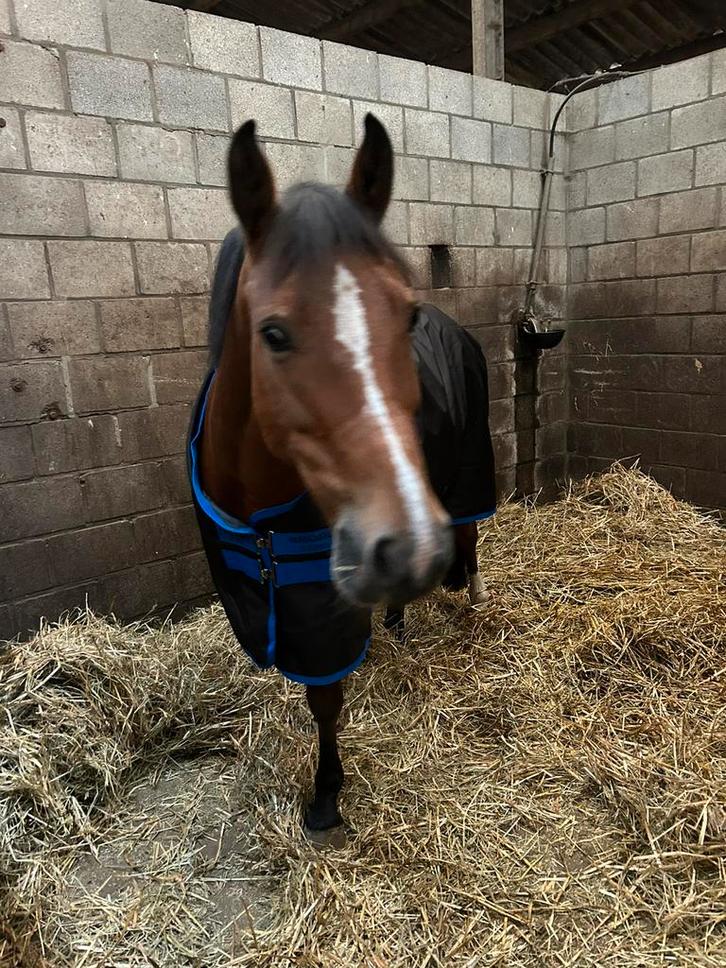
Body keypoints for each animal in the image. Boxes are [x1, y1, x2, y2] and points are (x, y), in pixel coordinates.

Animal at [188, 114, 496, 843]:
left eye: (405, 316)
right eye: (273, 333)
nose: (409, 547)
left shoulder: (321, 607)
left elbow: (326, 700)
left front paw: (326, 795)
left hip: (466, 477)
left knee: (472, 539)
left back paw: (471, 601)